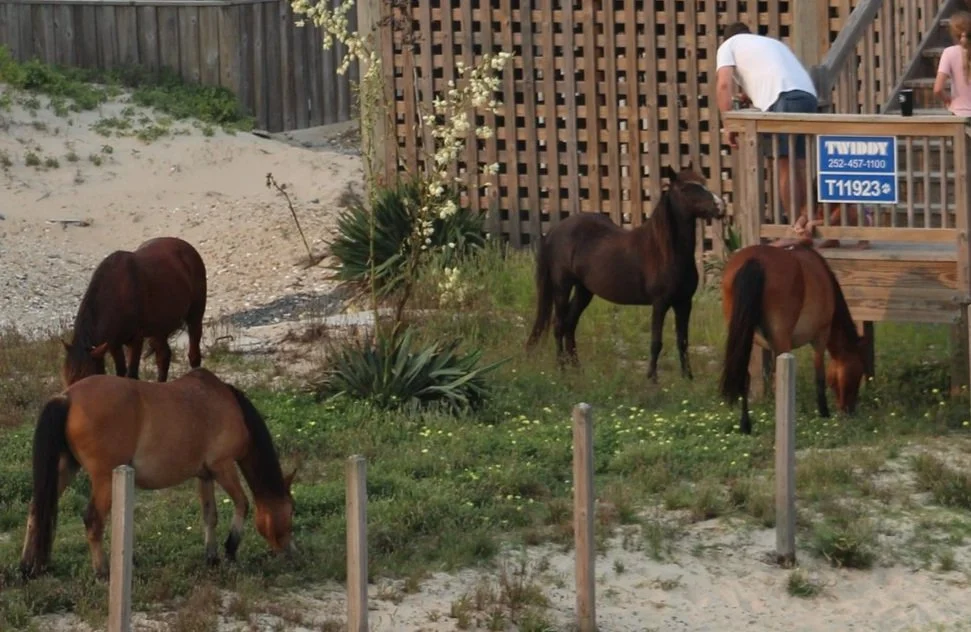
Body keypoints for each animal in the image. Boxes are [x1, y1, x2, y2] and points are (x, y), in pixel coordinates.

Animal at [19, 367, 296, 580]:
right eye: (291, 511)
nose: (291, 552)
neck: (226, 404)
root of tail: (67, 397)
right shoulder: (223, 466)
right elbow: (243, 503)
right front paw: (230, 550)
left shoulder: (204, 475)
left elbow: (210, 516)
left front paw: (212, 557)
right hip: (104, 479)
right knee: (93, 520)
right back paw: (102, 572)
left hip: (66, 468)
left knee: (36, 510)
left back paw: (27, 568)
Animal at [61, 236, 208, 388]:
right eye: (66, 380)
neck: (117, 293)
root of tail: (187, 247)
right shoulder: (113, 344)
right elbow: (120, 372)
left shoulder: (136, 340)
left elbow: (131, 374)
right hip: (158, 329)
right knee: (164, 356)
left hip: (195, 316)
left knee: (194, 354)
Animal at [525, 163, 726, 382]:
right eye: (684, 189)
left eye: (703, 182)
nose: (720, 206)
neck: (666, 252)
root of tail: (555, 230)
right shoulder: (660, 303)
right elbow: (656, 342)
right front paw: (652, 379)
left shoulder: (684, 303)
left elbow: (683, 342)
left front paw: (687, 378)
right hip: (562, 286)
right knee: (559, 324)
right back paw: (561, 369)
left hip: (584, 290)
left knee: (570, 324)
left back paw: (578, 370)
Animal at [718, 240, 869, 434]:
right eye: (858, 373)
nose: (849, 411)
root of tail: (755, 261)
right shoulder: (820, 336)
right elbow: (819, 377)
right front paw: (824, 412)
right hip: (781, 340)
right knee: (778, 382)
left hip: (746, 338)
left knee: (745, 377)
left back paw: (746, 425)